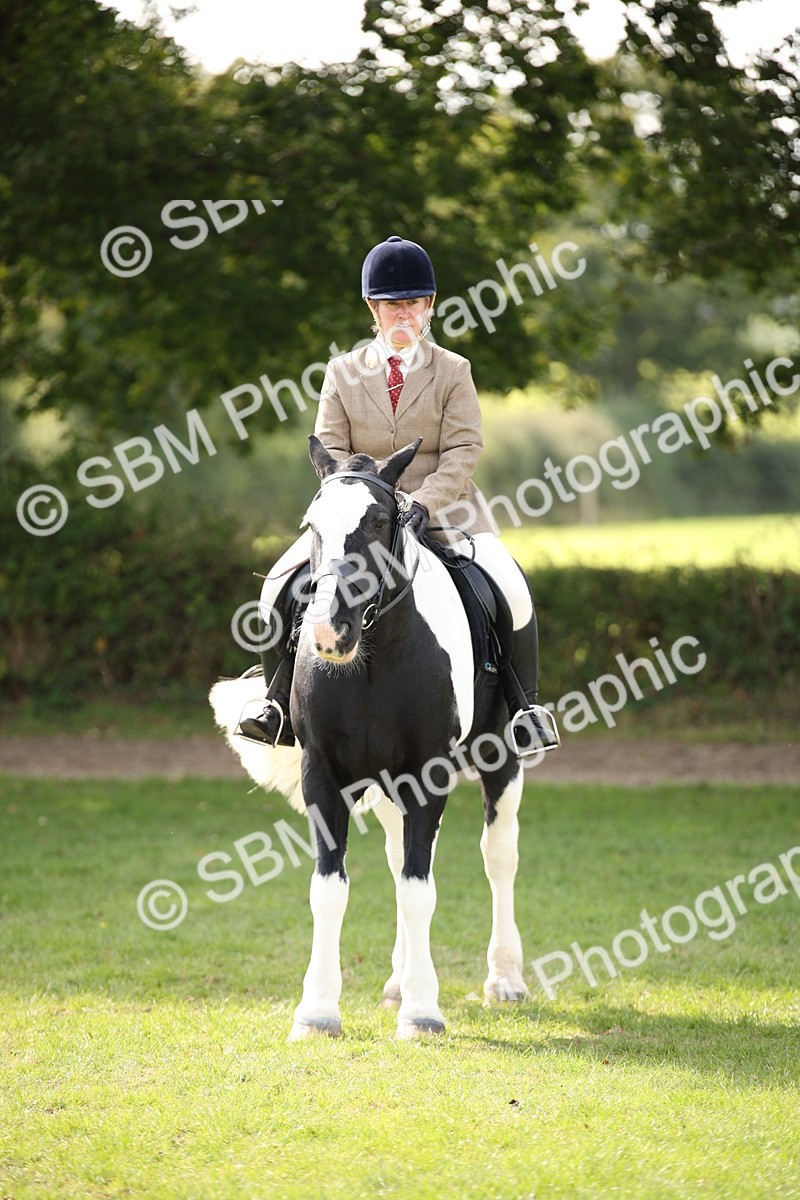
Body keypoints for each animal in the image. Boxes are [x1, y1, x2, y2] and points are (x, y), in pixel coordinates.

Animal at [210, 435, 532, 1040]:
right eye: (311, 523)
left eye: (380, 520)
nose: (327, 631)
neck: (372, 660)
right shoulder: (324, 775)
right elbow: (330, 889)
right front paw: (317, 1011)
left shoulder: (428, 774)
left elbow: (418, 888)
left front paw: (423, 1011)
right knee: (396, 853)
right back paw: (397, 982)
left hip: (501, 758)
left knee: (498, 855)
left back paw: (505, 979)